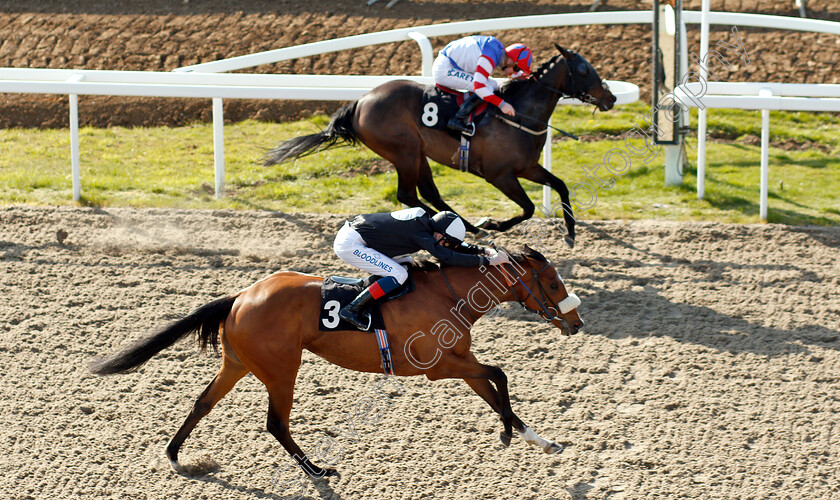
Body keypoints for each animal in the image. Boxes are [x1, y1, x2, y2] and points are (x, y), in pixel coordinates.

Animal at [87, 248, 584, 478]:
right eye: (554, 283)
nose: (576, 322)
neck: (447, 293)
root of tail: (240, 296)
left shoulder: (460, 358)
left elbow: (495, 389)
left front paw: (540, 441)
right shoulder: (438, 366)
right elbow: (500, 375)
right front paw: (507, 433)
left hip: (238, 363)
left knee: (202, 403)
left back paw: (175, 455)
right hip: (282, 368)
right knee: (275, 423)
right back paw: (316, 471)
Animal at [264, 46, 616, 249]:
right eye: (583, 69)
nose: (611, 97)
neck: (516, 113)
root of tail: (360, 103)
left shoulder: (527, 167)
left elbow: (561, 185)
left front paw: (571, 233)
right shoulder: (500, 175)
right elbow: (528, 208)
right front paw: (494, 224)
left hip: (418, 153)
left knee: (427, 193)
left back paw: (465, 226)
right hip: (404, 152)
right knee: (408, 195)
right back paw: (460, 227)